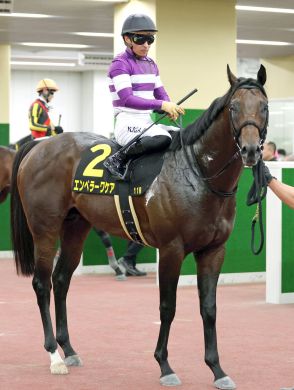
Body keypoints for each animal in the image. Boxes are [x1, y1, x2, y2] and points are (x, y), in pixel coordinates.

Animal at [10, 65, 268, 388]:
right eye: (233, 107)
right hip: (45, 228)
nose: (250, 150)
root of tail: (39, 146)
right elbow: (168, 307)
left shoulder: (213, 251)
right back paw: (54, 356)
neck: (198, 172)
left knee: (61, 280)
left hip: (76, 227)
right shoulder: (171, 250)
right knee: (42, 283)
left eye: (265, 106)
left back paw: (68, 348)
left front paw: (217, 369)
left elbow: (209, 308)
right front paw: (165, 365)